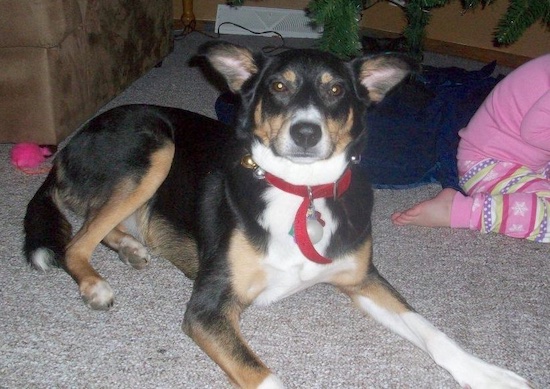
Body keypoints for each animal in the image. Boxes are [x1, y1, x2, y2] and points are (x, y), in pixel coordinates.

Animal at [23, 41, 532, 386]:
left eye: (335, 90)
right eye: (279, 87)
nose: (306, 132)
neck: (301, 190)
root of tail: (68, 145)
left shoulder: (362, 278)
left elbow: (432, 330)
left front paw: (488, 373)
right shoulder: (208, 307)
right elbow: (265, 375)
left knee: (99, 227)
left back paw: (130, 248)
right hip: (154, 145)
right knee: (76, 241)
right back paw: (96, 284)